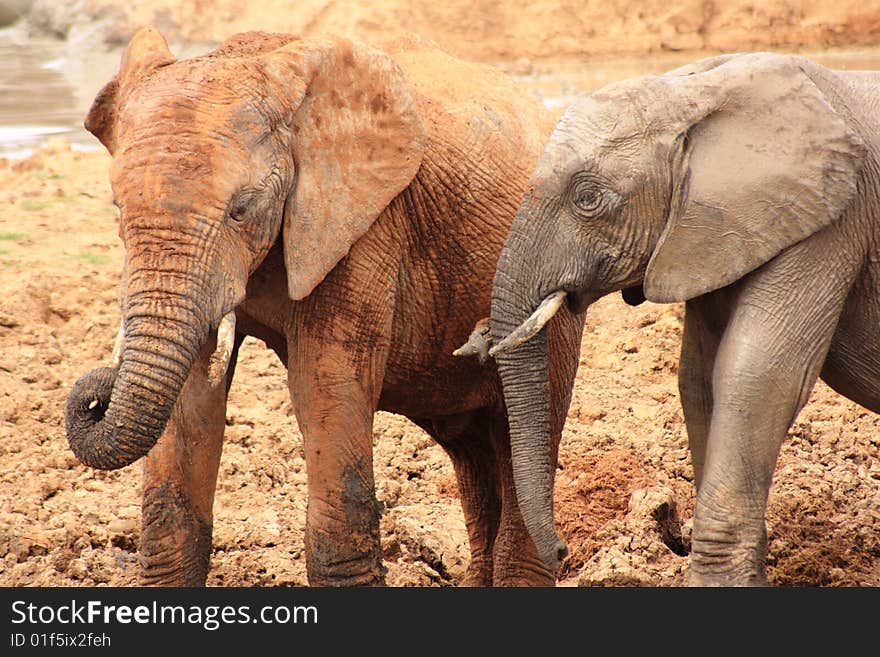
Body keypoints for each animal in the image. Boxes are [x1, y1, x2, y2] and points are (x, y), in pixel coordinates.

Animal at [63, 28, 584, 588]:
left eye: (241, 209)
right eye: (117, 208)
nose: (96, 394)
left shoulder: (362, 223)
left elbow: (326, 385)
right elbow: (191, 401)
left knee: (522, 433)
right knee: (473, 448)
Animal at [482, 52, 880, 584]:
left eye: (588, 199)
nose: (564, 551)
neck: (698, 91)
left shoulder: (834, 218)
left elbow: (757, 376)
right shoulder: (718, 230)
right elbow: (698, 377)